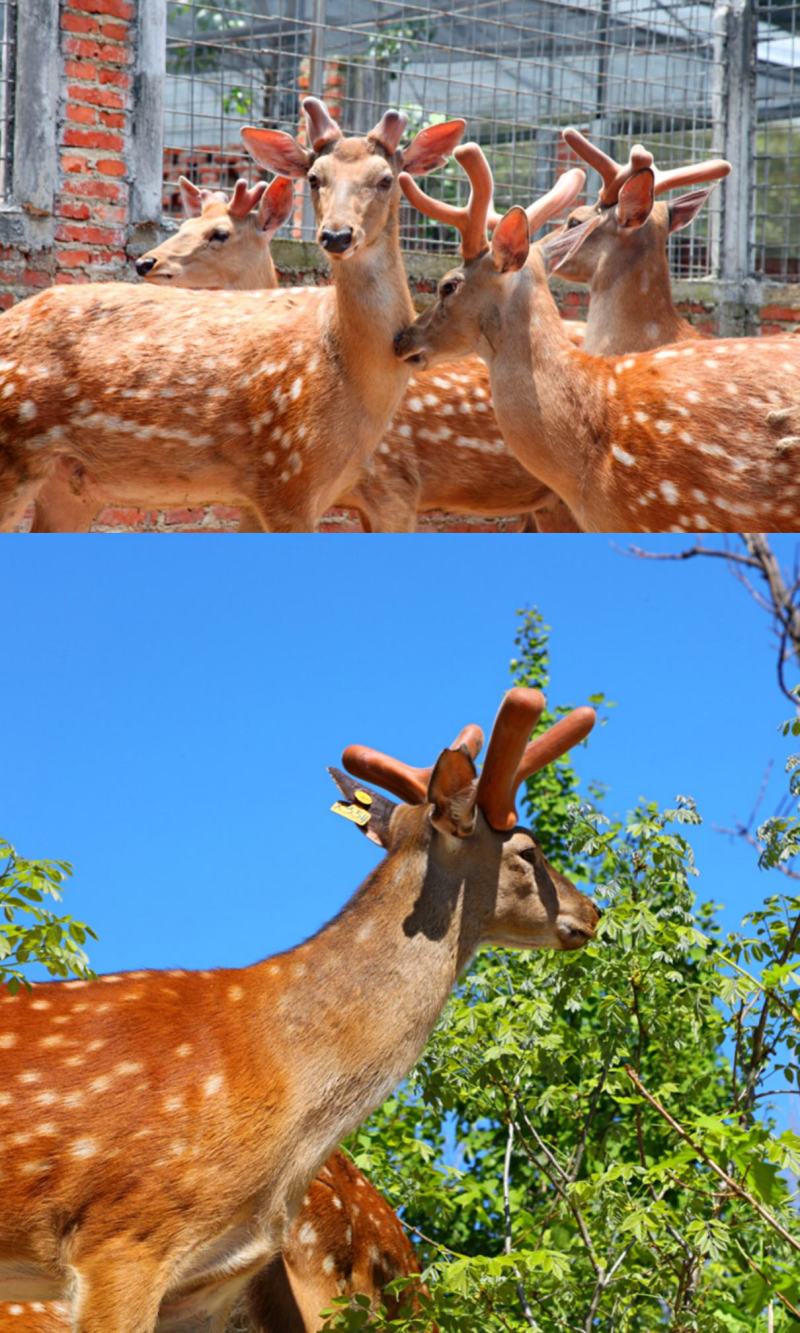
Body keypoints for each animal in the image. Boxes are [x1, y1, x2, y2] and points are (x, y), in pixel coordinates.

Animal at [0, 98, 466, 533]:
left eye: (386, 179)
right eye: (315, 178)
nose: (336, 235)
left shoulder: (275, 490)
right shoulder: (286, 474)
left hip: (71, 485)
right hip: (14, 450)